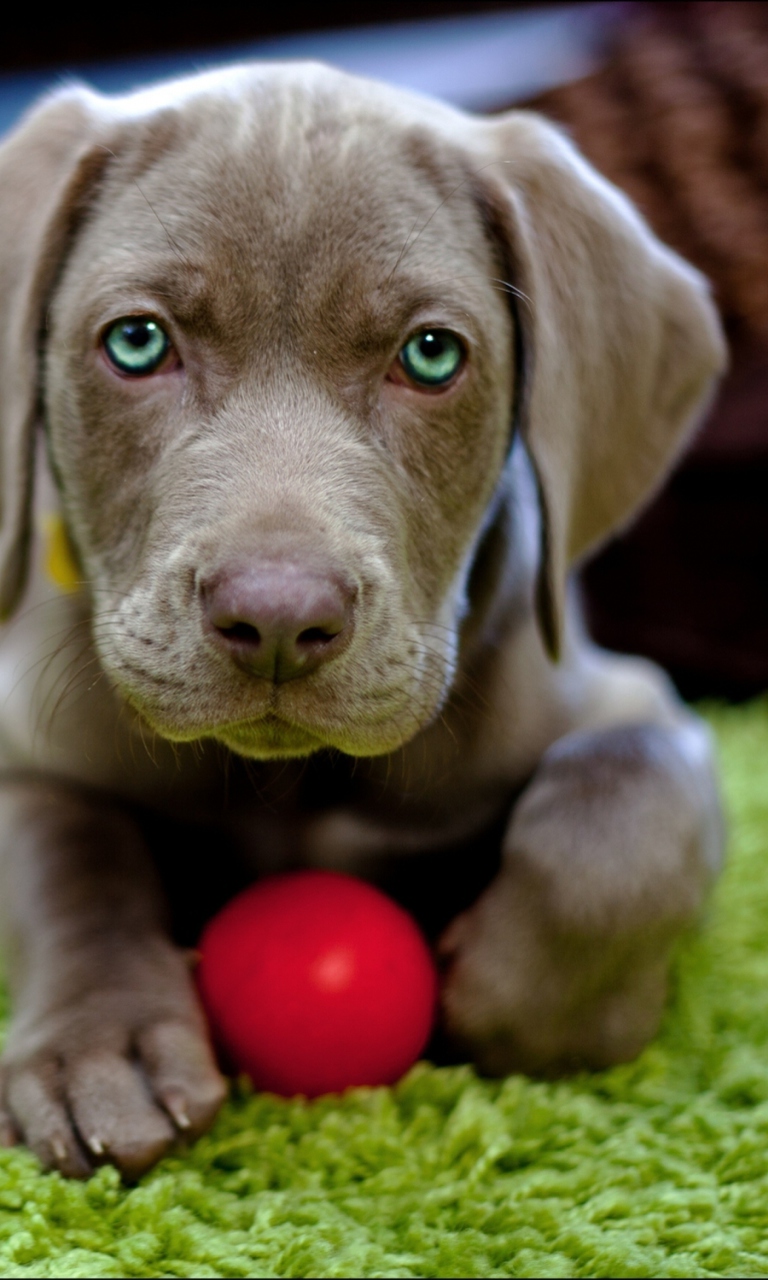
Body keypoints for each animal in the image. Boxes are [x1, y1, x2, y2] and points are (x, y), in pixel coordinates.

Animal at [0, 62, 727, 1177]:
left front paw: (527, 1004)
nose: (277, 619)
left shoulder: (637, 704)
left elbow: (615, 820)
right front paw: (99, 1047)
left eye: (429, 355)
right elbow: (64, 848)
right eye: (136, 340)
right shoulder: (24, 738)